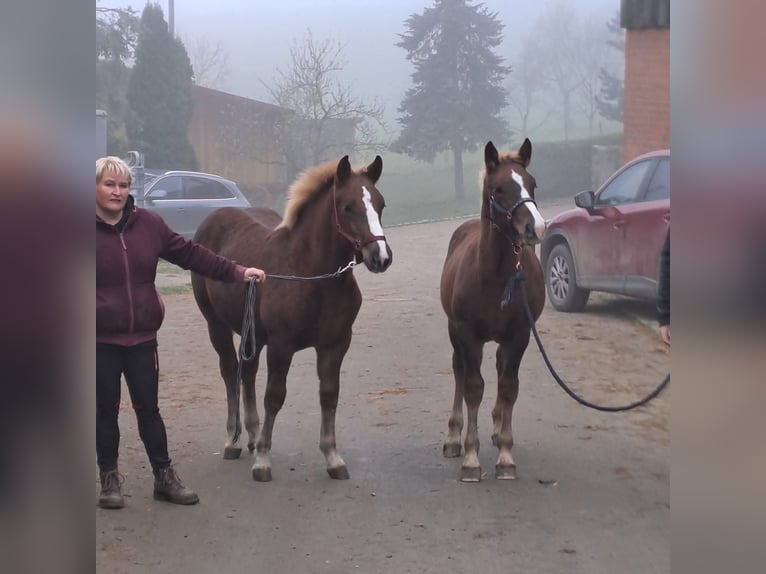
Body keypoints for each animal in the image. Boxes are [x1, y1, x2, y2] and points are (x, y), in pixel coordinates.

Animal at [192, 155, 396, 484]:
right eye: (348, 206)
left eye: (381, 204)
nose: (380, 257)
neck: (311, 275)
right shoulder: (281, 345)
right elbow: (275, 396)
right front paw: (263, 462)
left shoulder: (335, 344)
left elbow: (329, 395)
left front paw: (333, 458)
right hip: (217, 326)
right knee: (230, 372)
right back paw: (234, 441)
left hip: (252, 333)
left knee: (248, 373)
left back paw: (252, 436)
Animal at [440, 140, 548, 482]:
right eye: (498, 189)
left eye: (532, 184)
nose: (535, 227)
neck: (497, 275)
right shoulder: (467, 333)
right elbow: (473, 387)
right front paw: (471, 459)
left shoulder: (520, 333)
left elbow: (509, 387)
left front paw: (505, 455)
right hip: (454, 332)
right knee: (459, 371)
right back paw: (453, 438)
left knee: (501, 369)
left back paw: (499, 427)